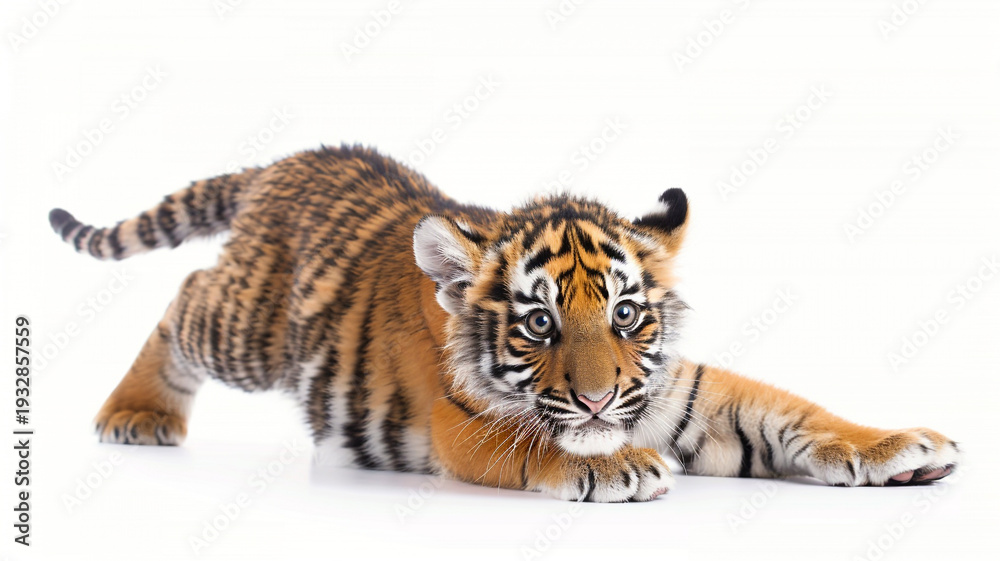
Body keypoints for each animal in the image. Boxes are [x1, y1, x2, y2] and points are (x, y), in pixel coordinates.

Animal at [48, 145, 960, 502]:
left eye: (626, 314)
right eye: (538, 325)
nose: (597, 402)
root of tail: (289, 162)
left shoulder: (684, 392)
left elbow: (790, 409)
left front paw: (902, 445)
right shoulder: (463, 424)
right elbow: (540, 443)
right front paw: (620, 463)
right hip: (250, 329)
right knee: (186, 292)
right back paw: (137, 412)